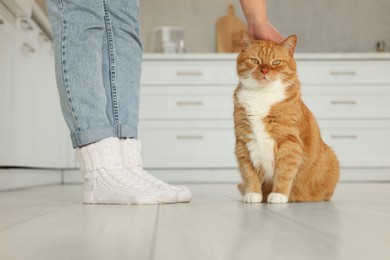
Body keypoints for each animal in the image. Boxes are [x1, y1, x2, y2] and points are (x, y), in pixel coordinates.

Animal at [235, 32, 338, 203]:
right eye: (255, 61)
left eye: (276, 62)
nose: (264, 70)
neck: (261, 95)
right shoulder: (243, 142)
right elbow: (249, 173)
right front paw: (253, 193)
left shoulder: (289, 142)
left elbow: (284, 172)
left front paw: (279, 194)